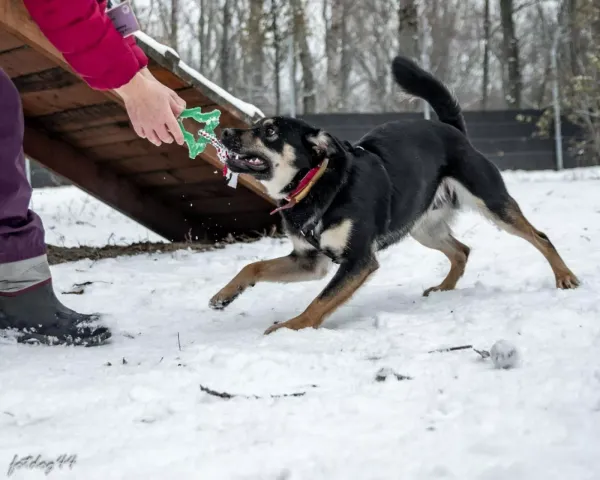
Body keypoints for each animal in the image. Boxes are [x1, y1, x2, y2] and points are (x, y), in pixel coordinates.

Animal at [209, 53, 580, 334]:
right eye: (254, 126)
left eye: (269, 131)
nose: (224, 131)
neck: (316, 184)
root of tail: (452, 129)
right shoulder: (308, 260)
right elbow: (253, 267)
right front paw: (224, 295)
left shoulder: (359, 261)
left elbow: (320, 301)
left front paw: (290, 327)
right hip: (422, 227)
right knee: (461, 251)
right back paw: (444, 289)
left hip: (493, 204)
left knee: (539, 237)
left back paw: (565, 277)